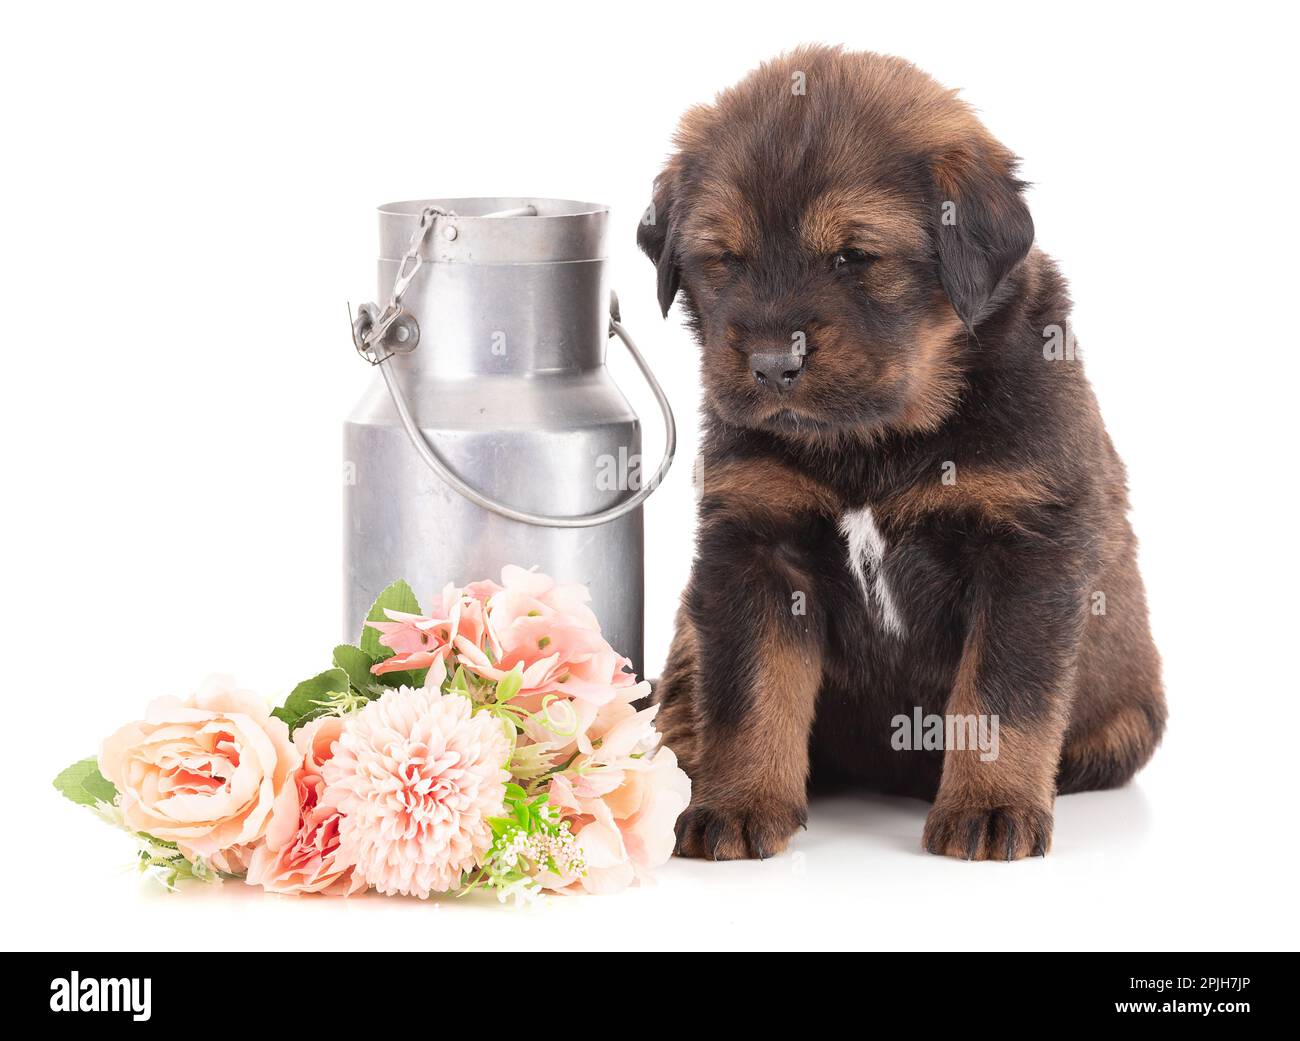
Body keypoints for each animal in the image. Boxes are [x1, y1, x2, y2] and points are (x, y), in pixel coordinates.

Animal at [639, 46, 1170, 862]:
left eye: (854, 255)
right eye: (724, 257)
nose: (770, 363)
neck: (874, 442)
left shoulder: (1026, 547)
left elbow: (1001, 696)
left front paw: (990, 808)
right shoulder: (756, 542)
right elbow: (749, 694)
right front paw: (736, 804)